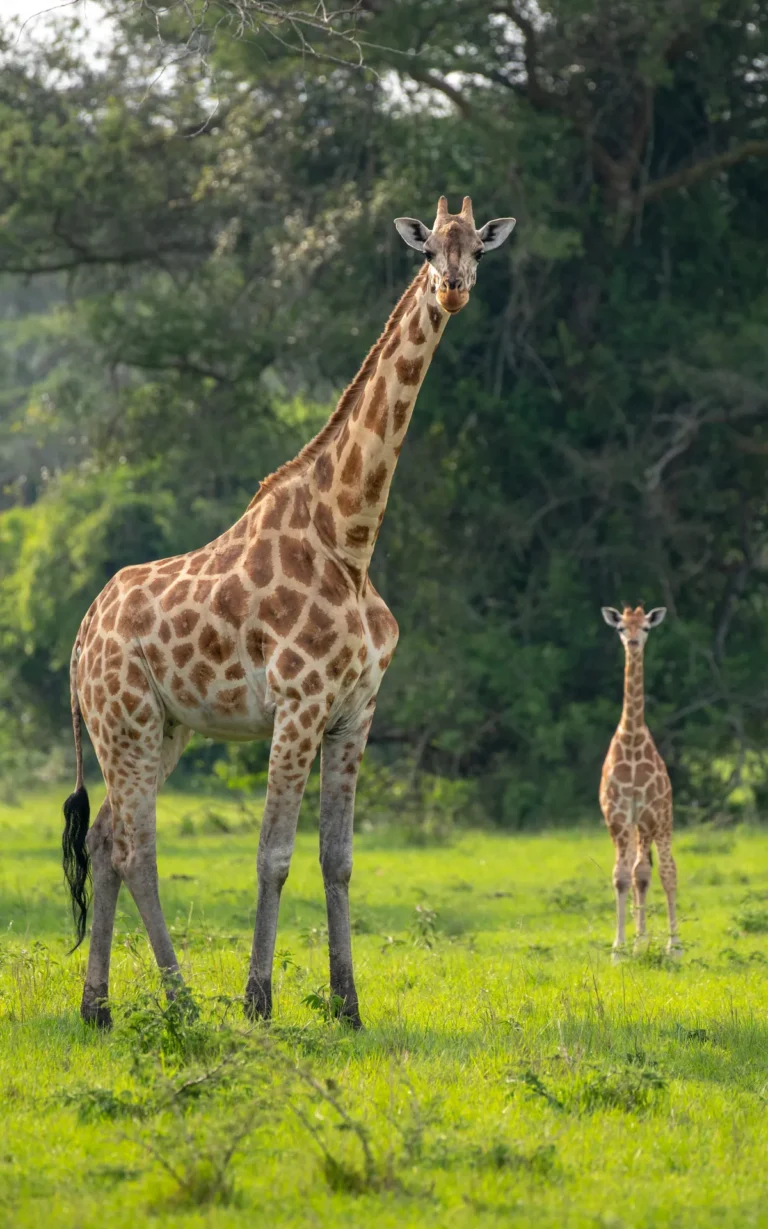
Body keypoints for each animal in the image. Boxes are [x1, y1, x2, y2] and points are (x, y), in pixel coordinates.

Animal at [61, 195, 517, 1029]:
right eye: (427, 250)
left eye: (478, 250)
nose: (453, 289)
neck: (351, 536)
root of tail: (79, 643)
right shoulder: (299, 703)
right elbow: (272, 854)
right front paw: (258, 1000)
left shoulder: (356, 710)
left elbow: (338, 858)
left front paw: (348, 1004)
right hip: (127, 719)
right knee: (135, 846)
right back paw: (182, 1003)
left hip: (159, 727)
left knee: (107, 837)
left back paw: (100, 1007)